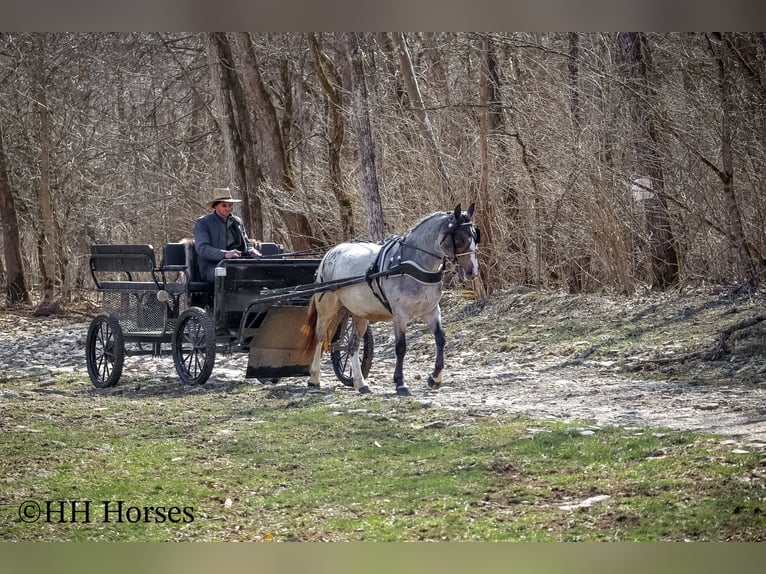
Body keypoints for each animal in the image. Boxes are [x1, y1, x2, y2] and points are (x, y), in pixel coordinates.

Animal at [302, 203, 480, 396]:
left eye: (475, 237)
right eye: (460, 239)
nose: (472, 272)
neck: (411, 263)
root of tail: (330, 253)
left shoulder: (431, 311)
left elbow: (440, 339)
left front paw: (435, 378)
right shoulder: (400, 314)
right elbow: (400, 347)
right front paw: (400, 383)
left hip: (358, 314)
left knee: (352, 345)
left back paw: (360, 383)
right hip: (327, 308)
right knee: (320, 338)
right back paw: (314, 378)